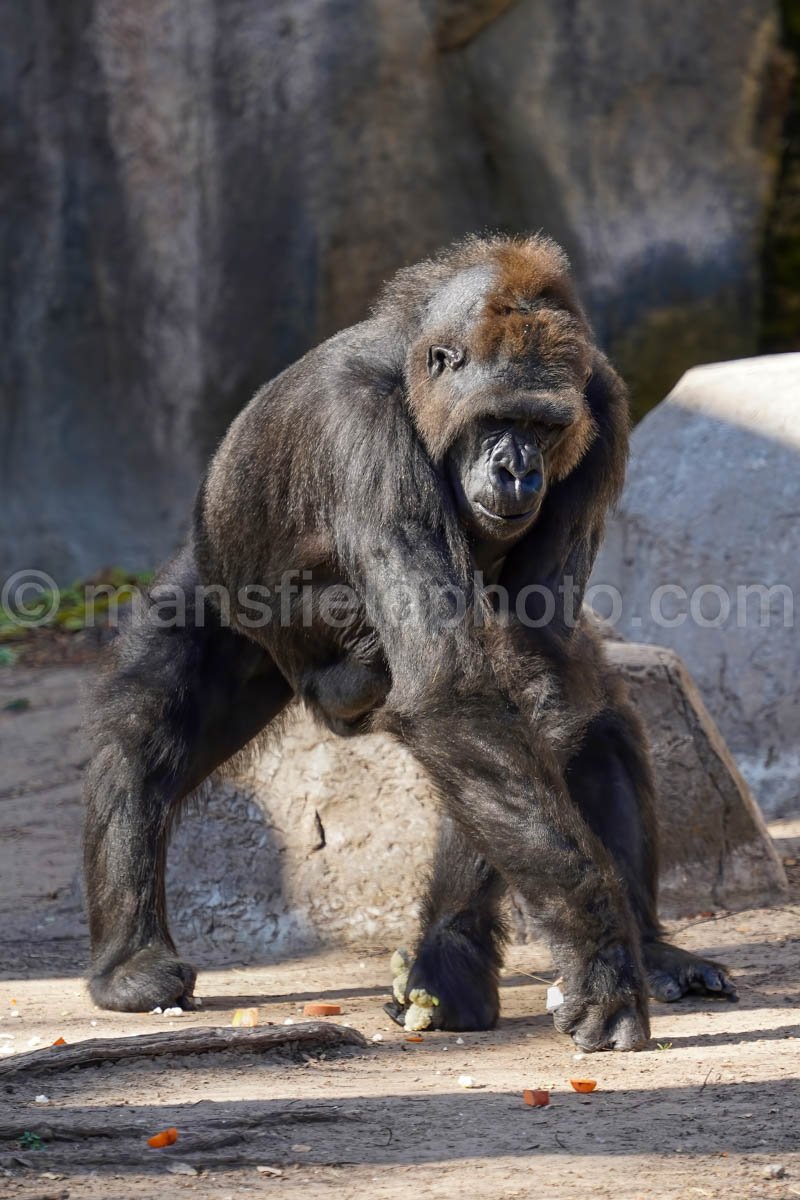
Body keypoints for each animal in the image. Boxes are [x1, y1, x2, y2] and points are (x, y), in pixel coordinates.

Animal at [82, 234, 738, 1051]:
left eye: (545, 428)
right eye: (497, 420)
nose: (517, 469)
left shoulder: (605, 413)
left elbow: (527, 678)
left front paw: (456, 955)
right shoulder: (364, 430)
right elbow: (459, 692)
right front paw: (597, 958)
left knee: (596, 714)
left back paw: (656, 948)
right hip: (216, 576)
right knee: (145, 729)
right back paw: (129, 962)